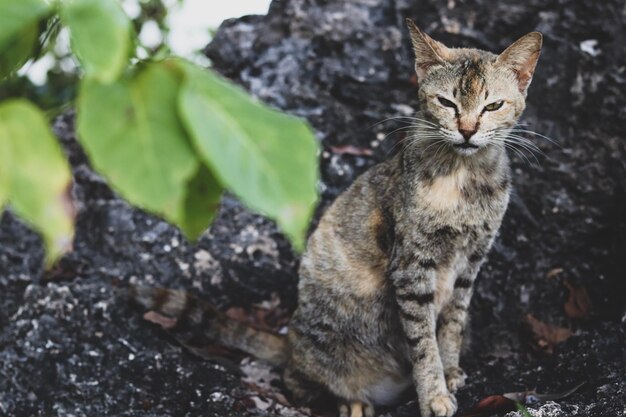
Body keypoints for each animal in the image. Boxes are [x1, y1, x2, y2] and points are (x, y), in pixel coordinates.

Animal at [133, 18, 540, 416]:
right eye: (446, 102)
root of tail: (290, 342)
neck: (464, 179)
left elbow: (452, 324)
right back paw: (351, 401)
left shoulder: (471, 261)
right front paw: (434, 394)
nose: (468, 130)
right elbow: (423, 340)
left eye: (493, 105)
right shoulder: (412, 264)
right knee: (297, 379)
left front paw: (451, 370)